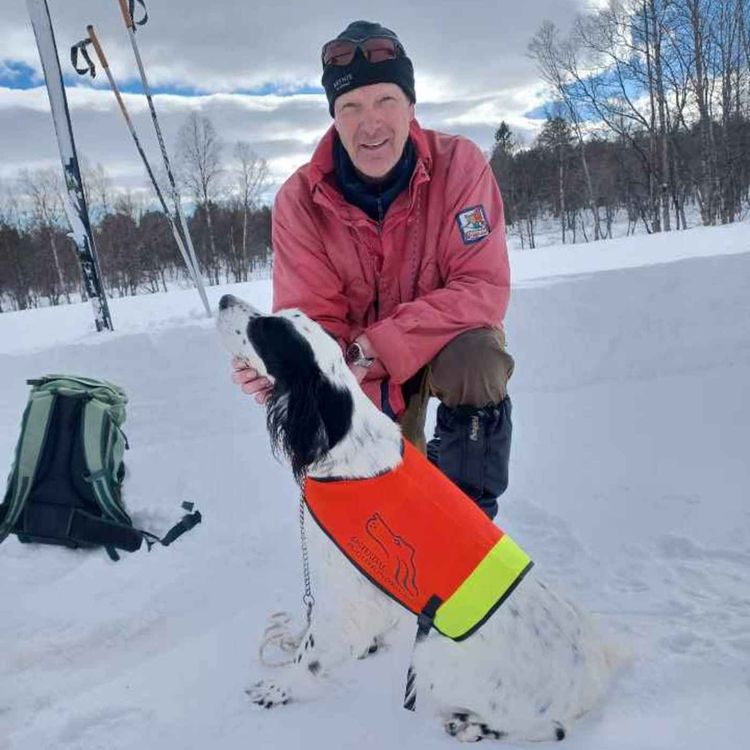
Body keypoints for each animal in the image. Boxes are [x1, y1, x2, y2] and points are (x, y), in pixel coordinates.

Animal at [217, 296, 624, 744]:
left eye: (263, 331)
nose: (223, 299)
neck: (343, 444)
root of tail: (594, 678)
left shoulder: (345, 589)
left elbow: (310, 654)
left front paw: (277, 689)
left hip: (433, 652)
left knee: (548, 729)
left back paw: (467, 724)